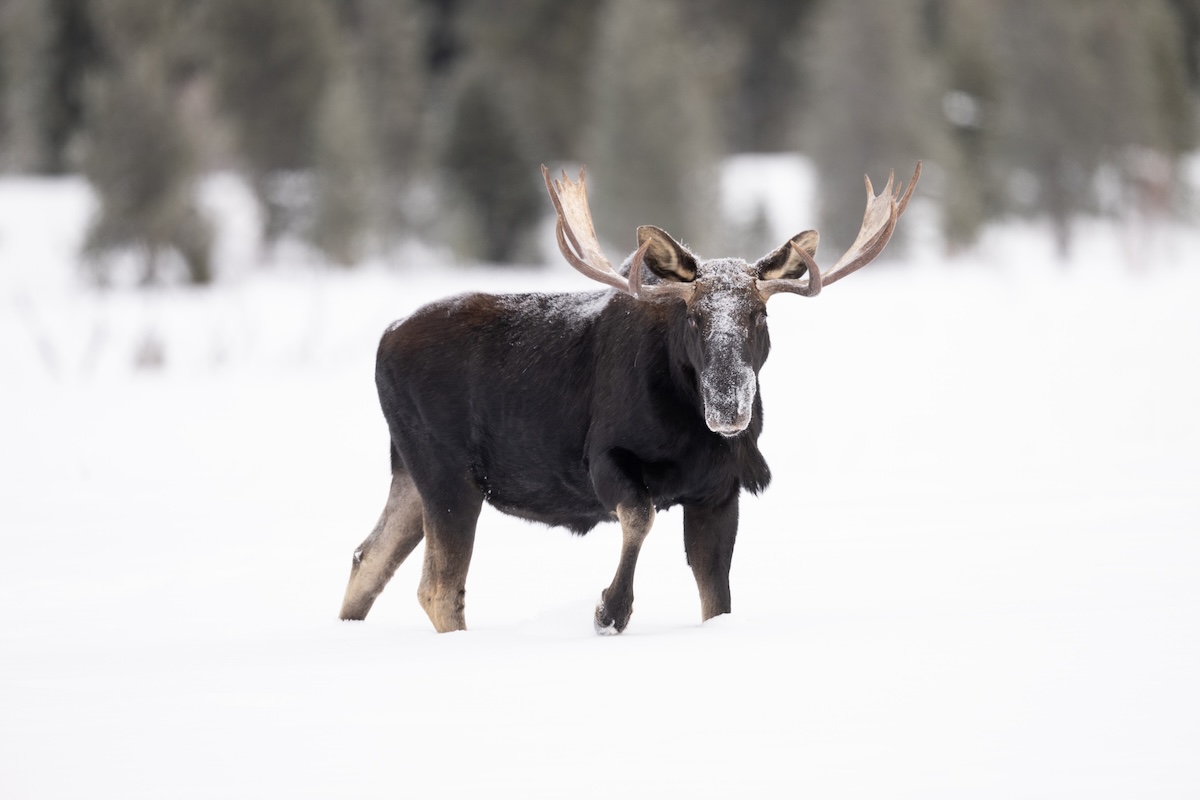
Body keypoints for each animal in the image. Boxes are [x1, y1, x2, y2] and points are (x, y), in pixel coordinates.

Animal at [339, 161, 921, 634]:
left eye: (760, 314)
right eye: (693, 316)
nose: (728, 408)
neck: (690, 430)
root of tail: (385, 340)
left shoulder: (718, 491)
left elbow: (717, 600)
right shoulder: (605, 458)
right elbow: (640, 516)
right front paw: (608, 610)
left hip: (410, 472)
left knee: (368, 558)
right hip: (448, 472)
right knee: (437, 587)